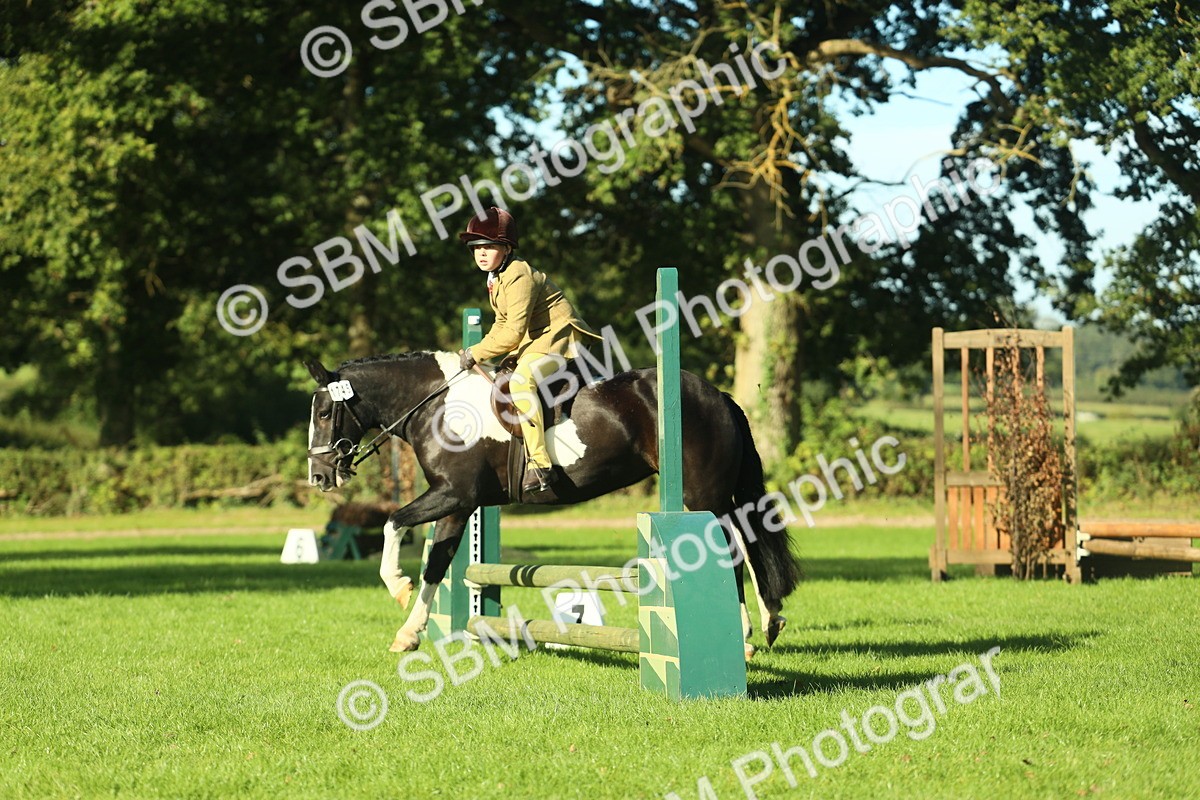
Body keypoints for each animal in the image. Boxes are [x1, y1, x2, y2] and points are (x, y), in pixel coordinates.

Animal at [303, 351, 799, 654]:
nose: (319, 476)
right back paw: (766, 622)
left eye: (325, 413)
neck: (437, 407)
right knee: (744, 546)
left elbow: (393, 523)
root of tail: (716, 395)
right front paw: (409, 634)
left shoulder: (453, 494)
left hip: (703, 495)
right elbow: (436, 566)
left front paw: (397, 586)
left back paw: (751, 631)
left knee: (737, 549)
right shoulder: (458, 506)